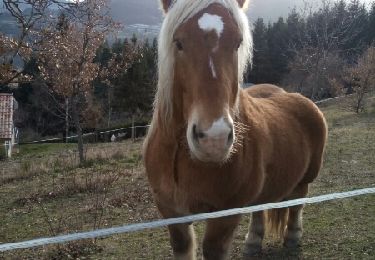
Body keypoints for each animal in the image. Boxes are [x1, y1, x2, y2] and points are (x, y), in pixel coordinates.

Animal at [142, 1, 328, 258]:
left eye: (237, 42)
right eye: (178, 42)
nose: (214, 139)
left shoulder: (225, 216)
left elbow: (214, 249)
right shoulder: (171, 212)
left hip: (306, 178)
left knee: (297, 202)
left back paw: (292, 236)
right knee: (261, 206)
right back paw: (253, 242)